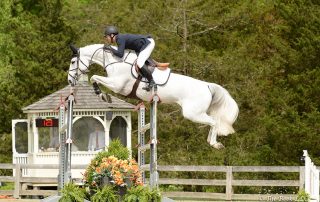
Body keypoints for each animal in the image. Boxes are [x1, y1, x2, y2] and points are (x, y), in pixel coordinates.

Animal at [67, 43, 238, 148]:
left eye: (73, 61)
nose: (69, 80)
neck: (115, 61)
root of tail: (207, 86)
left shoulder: (118, 85)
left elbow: (94, 77)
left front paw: (101, 95)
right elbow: (94, 78)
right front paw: (103, 96)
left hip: (192, 113)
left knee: (214, 122)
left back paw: (215, 144)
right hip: (197, 112)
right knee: (213, 121)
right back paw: (211, 140)